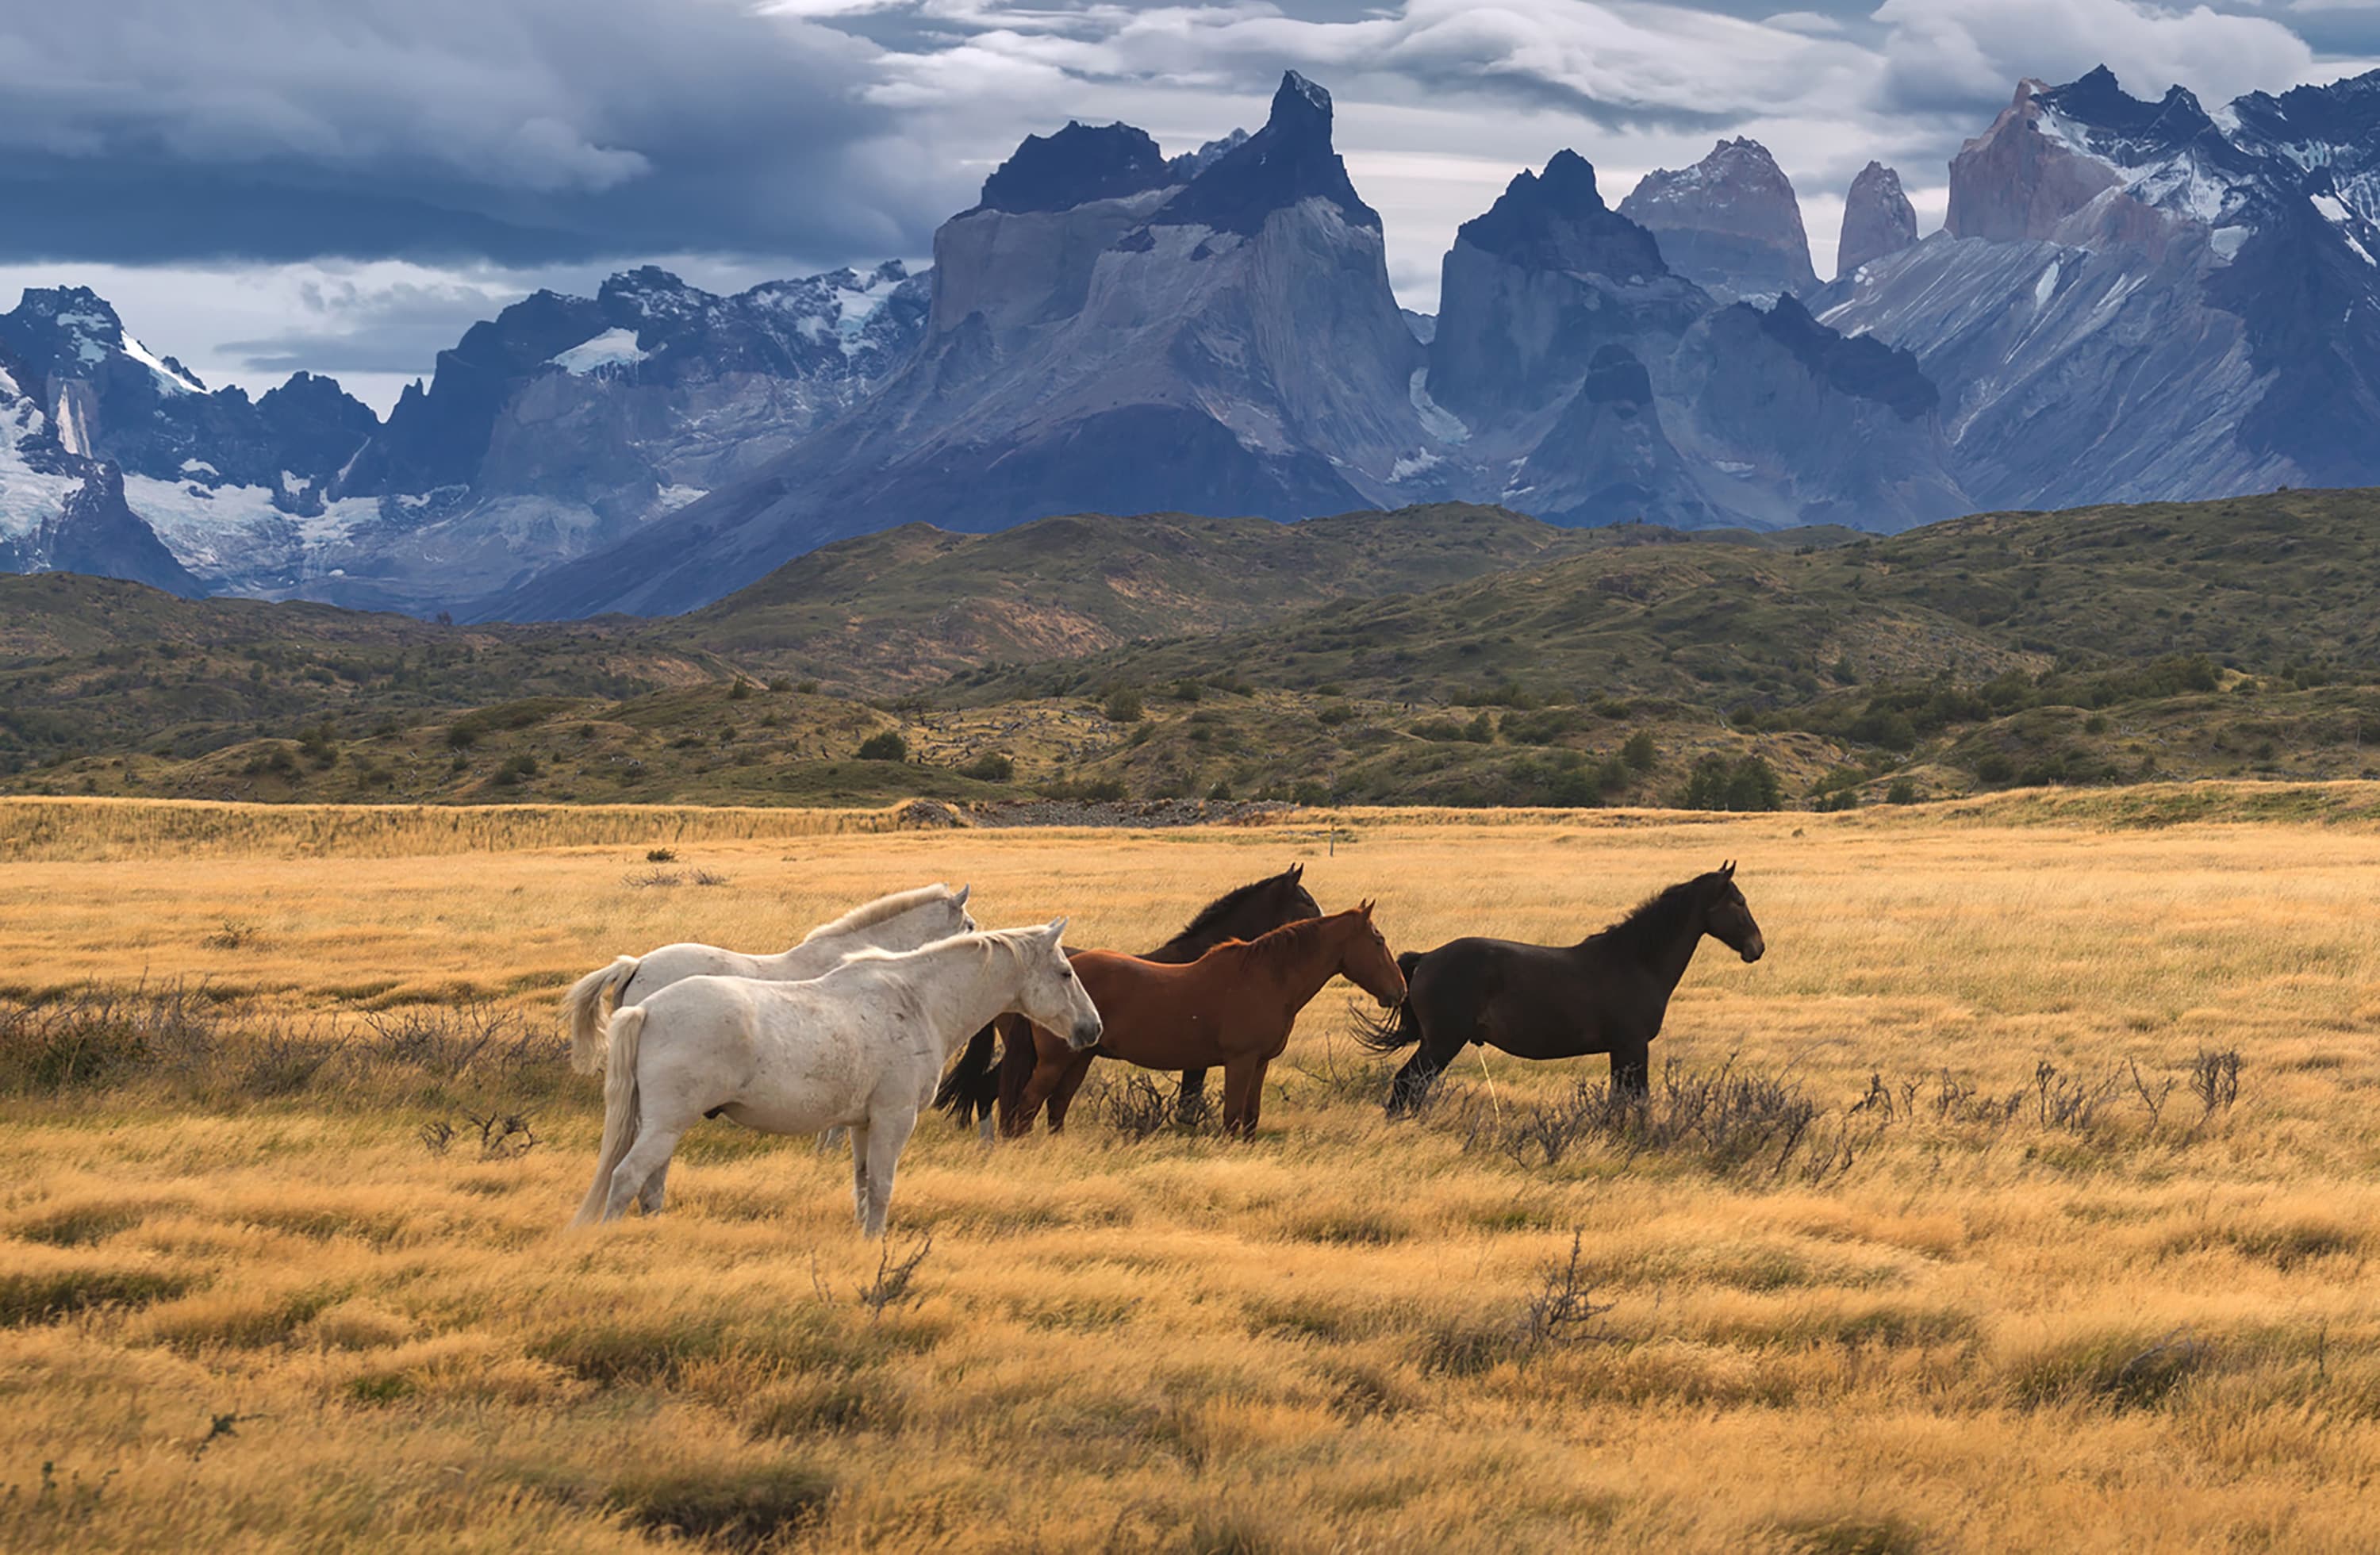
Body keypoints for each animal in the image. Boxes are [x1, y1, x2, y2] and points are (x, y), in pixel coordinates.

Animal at [571, 923, 1100, 1238]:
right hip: (667, 1125)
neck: (916, 1001)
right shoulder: (893, 1119)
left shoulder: (862, 1125)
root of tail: (647, 1009)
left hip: (661, 1126)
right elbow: (882, 1186)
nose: (1091, 1029)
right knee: (627, 1178)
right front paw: (877, 1243)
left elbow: (863, 1185)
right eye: (1065, 972)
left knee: (650, 1185)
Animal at [1000, 904, 1399, 1133]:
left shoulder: (1260, 1064)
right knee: (1028, 1105)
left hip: (1081, 1057)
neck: (1266, 978)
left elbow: (1250, 1119)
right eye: (1378, 941)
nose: (1399, 990)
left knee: (1057, 1106)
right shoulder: (1240, 1061)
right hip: (1056, 1060)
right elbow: (1233, 1118)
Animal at [1361, 862, 1771, 1114]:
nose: (1758, 947)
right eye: (1739, 902)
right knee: (1407, 1084)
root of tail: (1428, 958)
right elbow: (1637, 1099)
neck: (1635, 960)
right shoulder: (1633, 1046)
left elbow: (1619, 1100)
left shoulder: (1621, 1050)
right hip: (1443, 1043)